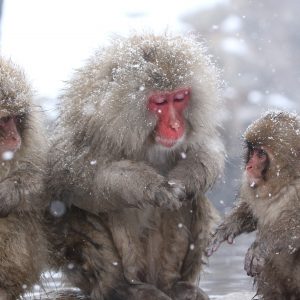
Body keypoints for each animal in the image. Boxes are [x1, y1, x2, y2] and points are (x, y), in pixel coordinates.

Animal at [47, 33, 224, 300]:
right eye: (160, 101)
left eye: (179, 98)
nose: (175, 126)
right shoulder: (88, 127)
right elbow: (72, 178)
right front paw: (149, 186)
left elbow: (208, 149)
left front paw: (185, 179)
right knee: (83, 215)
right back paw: (122, 288)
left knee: (194, 201)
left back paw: (173, 285)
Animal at [207, 111, 300, 298]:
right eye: (252, 151)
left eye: (261, 154)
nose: (249, 166)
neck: (286, 182)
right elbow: (249, 211)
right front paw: (227, 228)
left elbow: (293, 226)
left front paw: (261, 246)